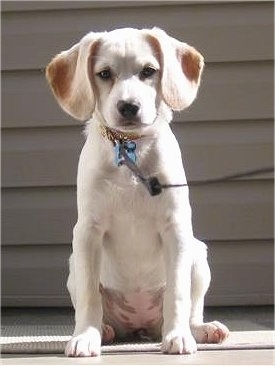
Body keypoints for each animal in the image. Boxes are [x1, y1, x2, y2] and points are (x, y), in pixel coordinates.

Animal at [46, 26, 230, 358]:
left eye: (148, 71)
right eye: (104, 73)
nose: (128, 106)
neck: (129, 147)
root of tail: (139, 326)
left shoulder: (176, 228)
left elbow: (178, 293)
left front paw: (178, 336)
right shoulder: (87, 231)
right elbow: (90, 297)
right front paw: (86, 337)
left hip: (198, 256)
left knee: (190, 307)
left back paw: (200, 329)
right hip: (73, 266)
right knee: (95, 304)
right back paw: (104, 330)